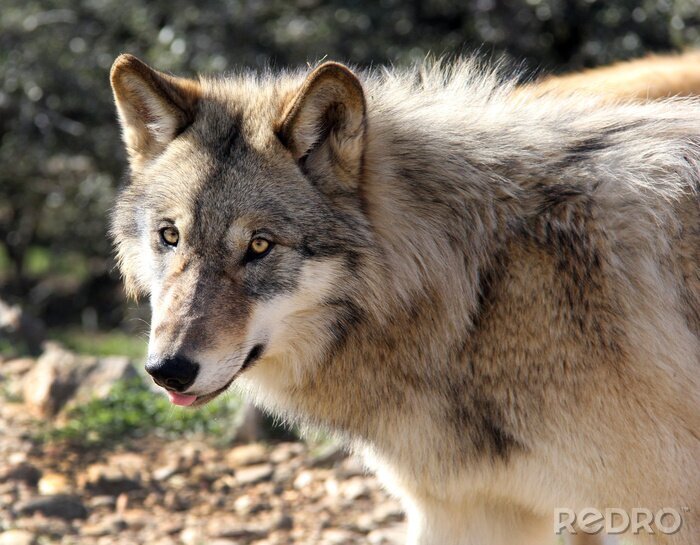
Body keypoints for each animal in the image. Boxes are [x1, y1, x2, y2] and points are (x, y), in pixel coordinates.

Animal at [109, 52, 699, 545]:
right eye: (170, 236)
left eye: (259, 246)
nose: (168, 370)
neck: (479, 288)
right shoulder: (468, 511)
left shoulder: (660, 514)